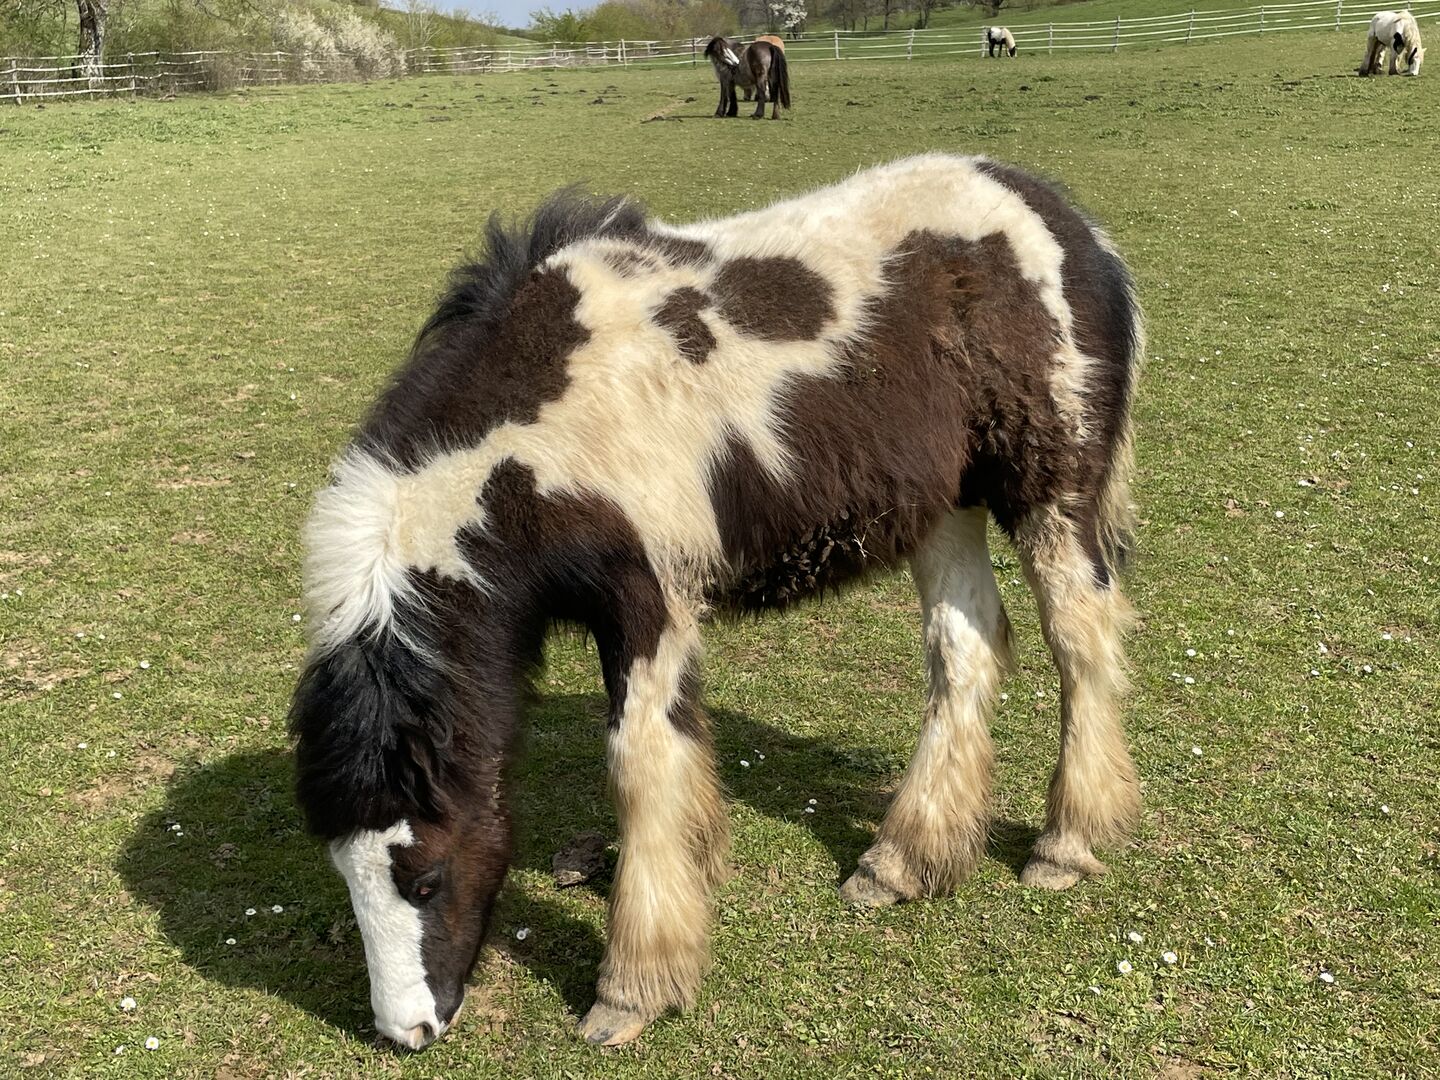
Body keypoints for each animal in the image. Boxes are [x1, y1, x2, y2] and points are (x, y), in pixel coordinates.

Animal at [291, 153, 1144, 1051]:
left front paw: (633, 984)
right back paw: (903, 861)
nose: (406, 1031)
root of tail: (1068, 221)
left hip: (1050, 488)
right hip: (945, 504)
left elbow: (640, 759)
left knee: (1080, 636)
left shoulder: (647, 599)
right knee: (966, 649)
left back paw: (1066, 843)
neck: (541, 426)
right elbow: (681, 747)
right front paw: (695, 865)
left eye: (424, 877)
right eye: (344, 874)